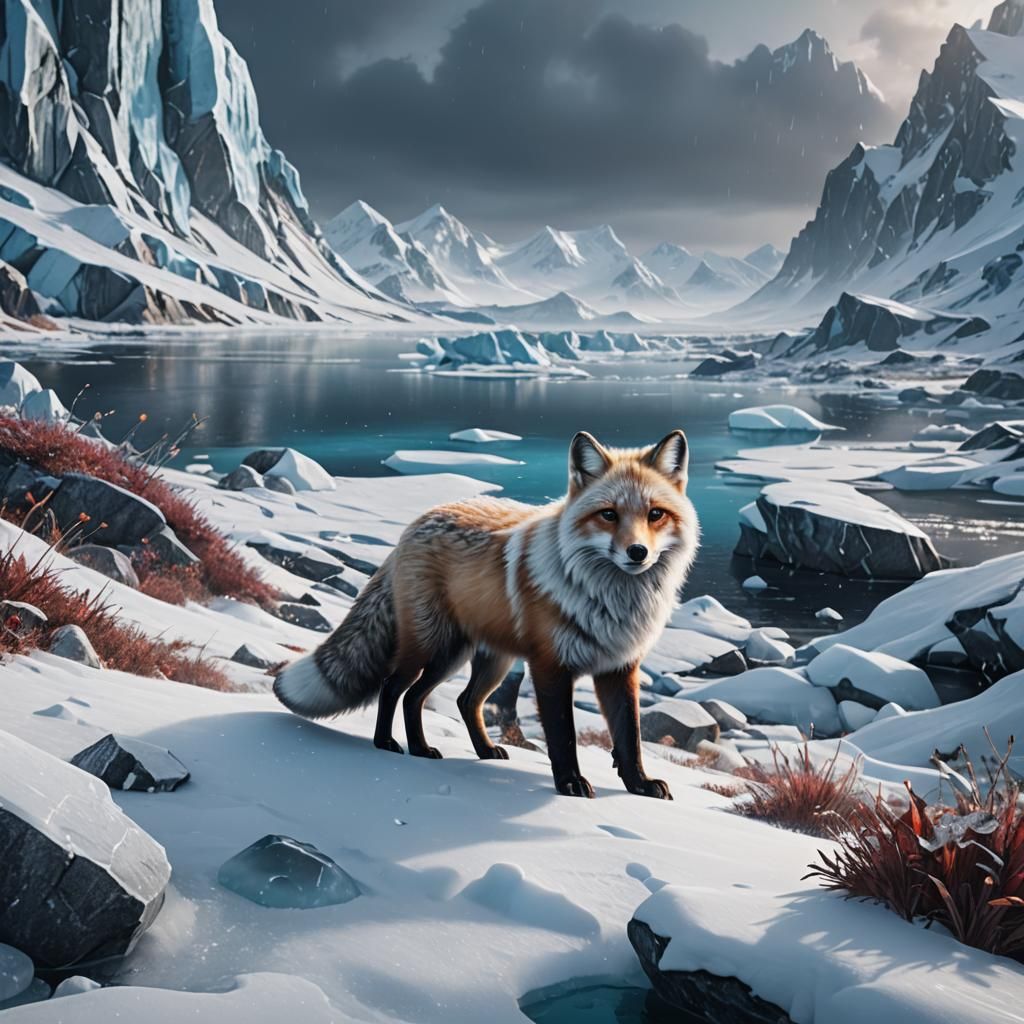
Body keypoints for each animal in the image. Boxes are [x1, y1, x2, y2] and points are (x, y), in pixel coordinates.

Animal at [274, 429, 699, 799]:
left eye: (655, 514)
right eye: (609, 515)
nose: (637, 552)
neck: (612, 601)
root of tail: (414, 526)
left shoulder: (619, 666)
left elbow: (630, 736)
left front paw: (639, 785)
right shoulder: (551, 666)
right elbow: (563, 737)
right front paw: (570, 784)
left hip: (480, 659)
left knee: (449, 700)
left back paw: (450, 750)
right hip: (431, 649)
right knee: (394, 687)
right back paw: (387, 743)